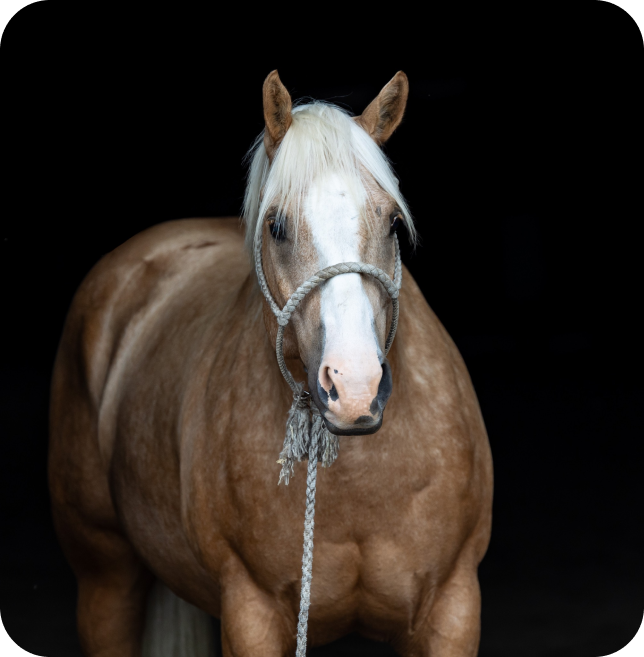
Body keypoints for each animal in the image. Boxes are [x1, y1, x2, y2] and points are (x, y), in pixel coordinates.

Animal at [49, 72, 494, 656]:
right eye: (276, 226)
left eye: (394, 223)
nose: (354, 387)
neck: (364, 486)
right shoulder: (250, 613)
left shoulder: (452, 609)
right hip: (105, 578)